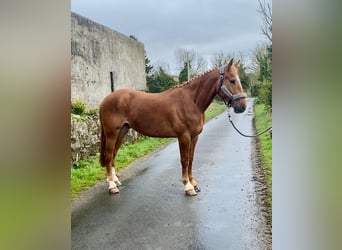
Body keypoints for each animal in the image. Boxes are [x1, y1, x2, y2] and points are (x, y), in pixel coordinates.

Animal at [99, 58, 246, 195]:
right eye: (232, 80)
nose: (242, 106)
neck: (191, 101)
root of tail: (105, 100)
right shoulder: (184, 136)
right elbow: (184, 160)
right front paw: (188, 186)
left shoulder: (194, 136)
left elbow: (191, 159)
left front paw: (194, 183)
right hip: (111, 133)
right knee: (109, 156)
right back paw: (112, 186)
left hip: (122, 132)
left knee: (113, 155)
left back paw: (115, 181)